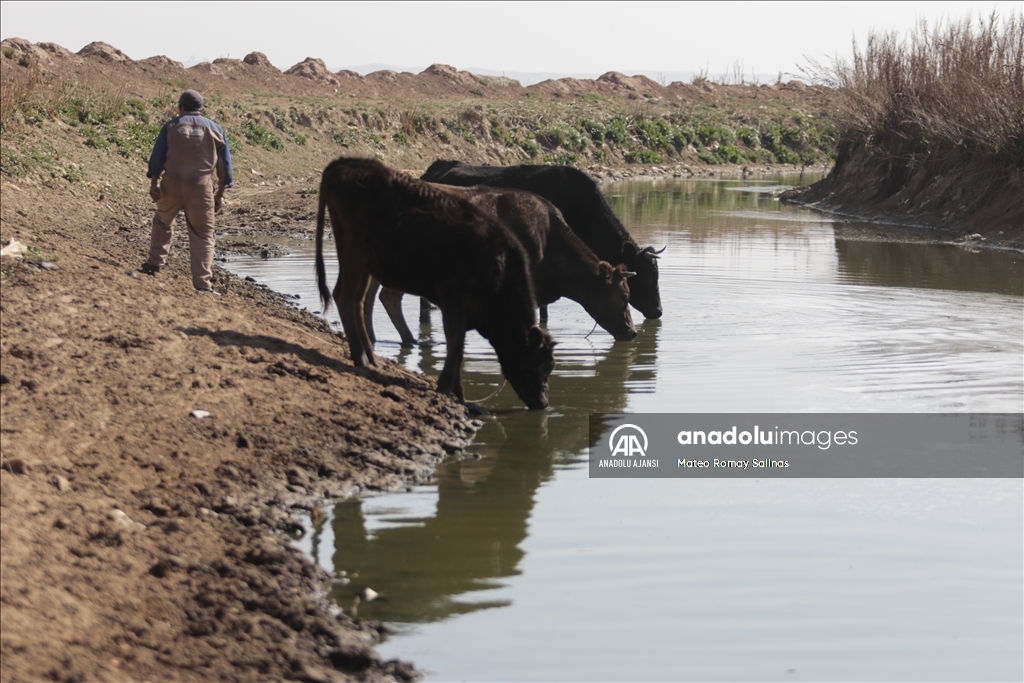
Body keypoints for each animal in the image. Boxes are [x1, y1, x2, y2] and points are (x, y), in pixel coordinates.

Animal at [313, 157, 557, 409]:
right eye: (545, 365)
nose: (543, 402)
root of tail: (347, 163)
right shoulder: (452, 298)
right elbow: (456, 344)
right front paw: (447, 389)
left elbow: (457, 345)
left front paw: (460, 395)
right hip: (355, 255)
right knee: (345, 296)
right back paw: (361, 358)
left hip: (365, 264)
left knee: (358, 302)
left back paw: (371, 359)